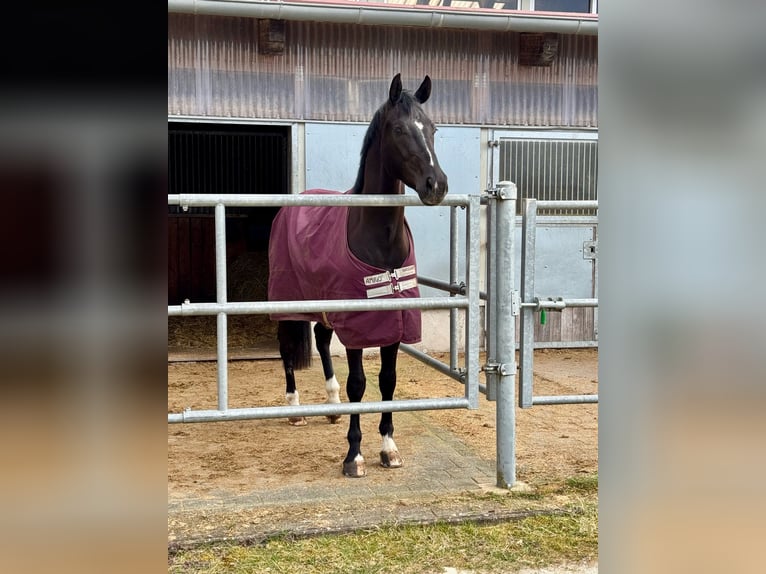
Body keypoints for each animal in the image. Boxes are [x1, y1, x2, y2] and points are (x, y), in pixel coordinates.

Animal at [267, 73, 448, 478]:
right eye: (399, 129)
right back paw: (293, 409)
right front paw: (354, 455)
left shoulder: (391, 323)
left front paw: (389, 448)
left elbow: (387, 382)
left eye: (432, 128)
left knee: (321, 340)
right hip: (288, 299)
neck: (380, 243)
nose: (437, 185)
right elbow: (359, 384)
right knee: (287, 346)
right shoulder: (358, 324)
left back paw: (332, 407)